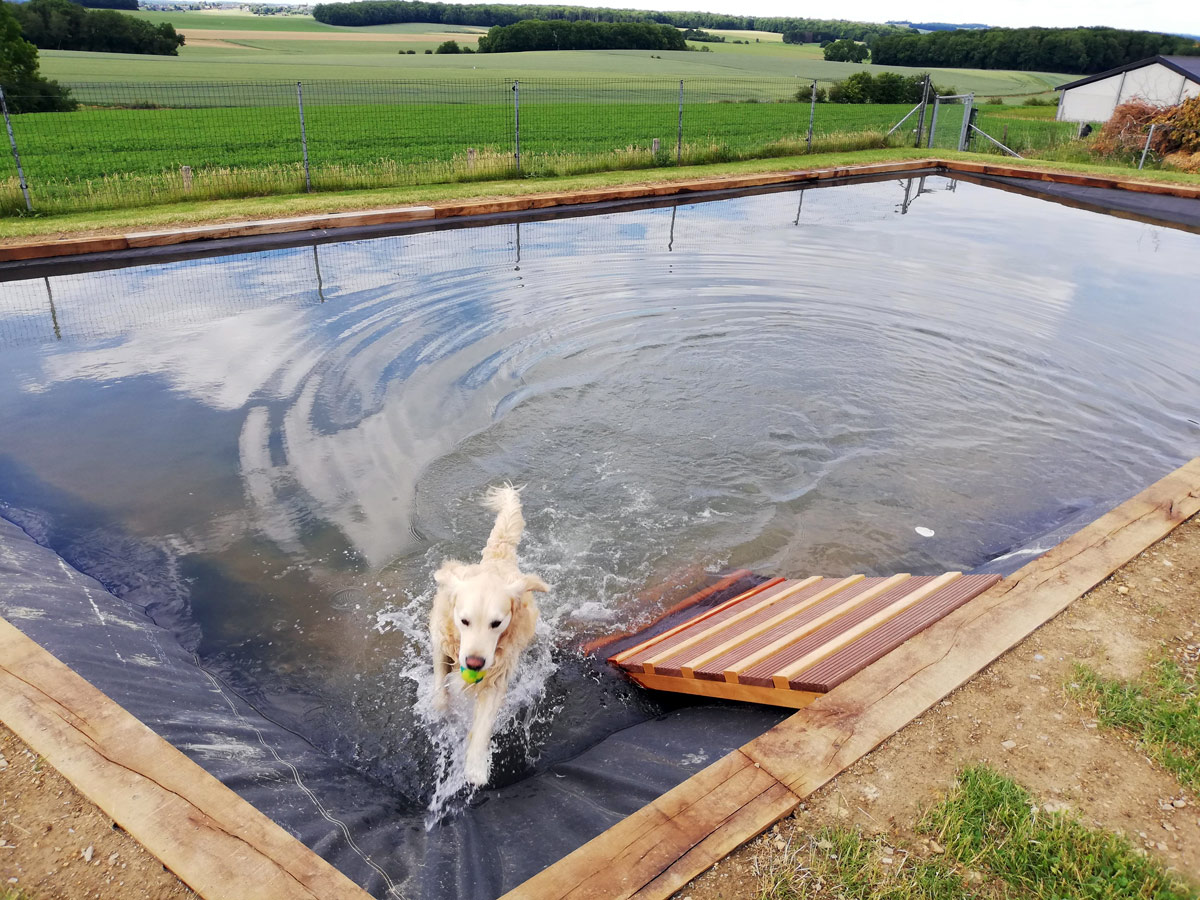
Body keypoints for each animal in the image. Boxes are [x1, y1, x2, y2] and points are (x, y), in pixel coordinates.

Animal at [427, 482, 549, 787]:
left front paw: (475, 766)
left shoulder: (497, 673)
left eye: (497, 623)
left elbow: (483, 724)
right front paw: (442, 707)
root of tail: (497, 561)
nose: (474, 663)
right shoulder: (441, 642)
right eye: (464, 621)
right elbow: (440, 683)